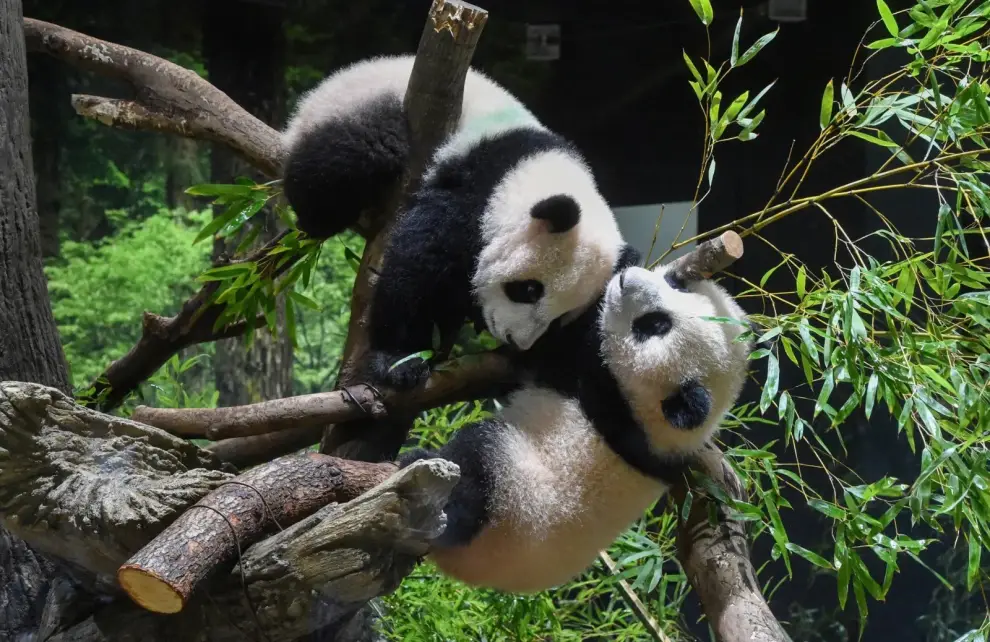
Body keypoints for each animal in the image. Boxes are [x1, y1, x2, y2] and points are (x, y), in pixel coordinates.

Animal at [280, 55, 626, 390]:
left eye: (559, 319)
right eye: (529, 290)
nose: (516, 340)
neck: (535, 170)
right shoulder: (475, 185)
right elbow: (420, 260)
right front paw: (401, 360)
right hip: (359, 109)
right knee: (351, 157)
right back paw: (319, 218)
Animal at [397, 255, 752, 593]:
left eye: (654, 325)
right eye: (675, 286)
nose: (626, 279)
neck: (648, 421)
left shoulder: (601, 391)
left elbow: (552, 351)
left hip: (511, 498)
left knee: (474, 471)